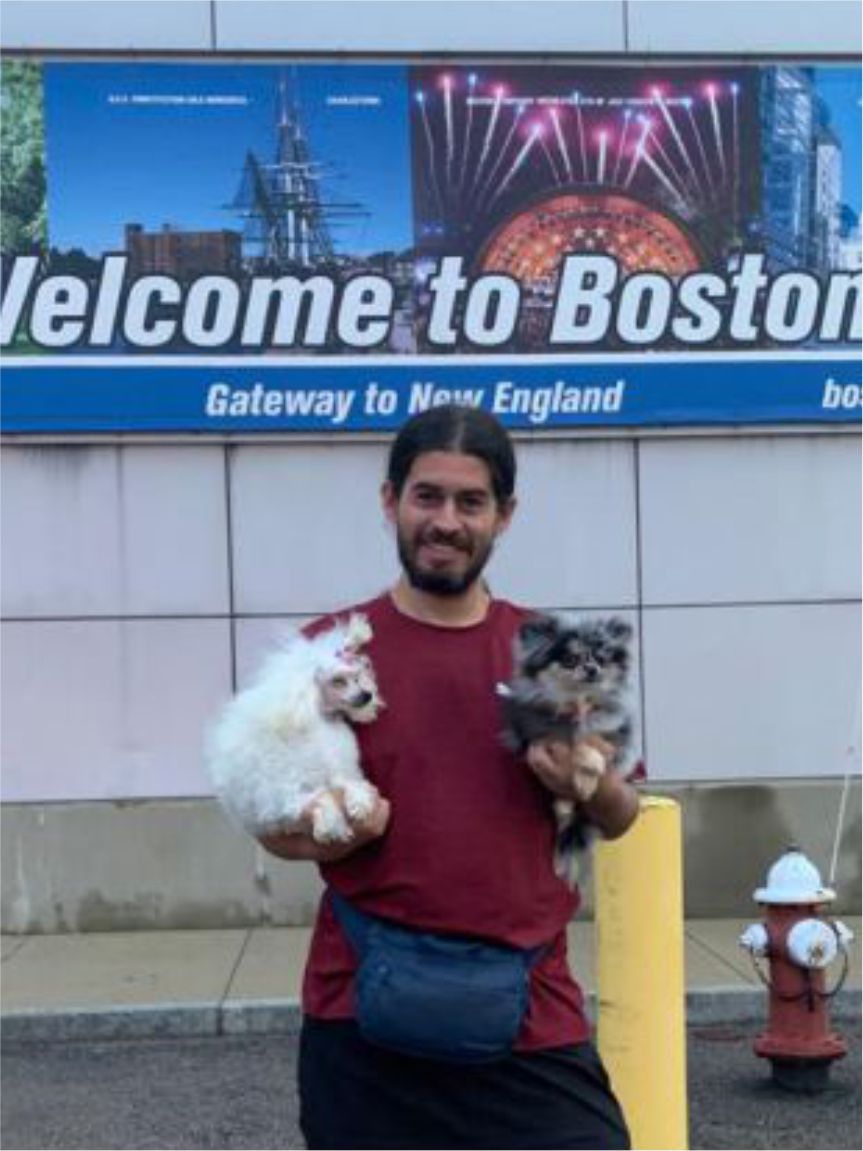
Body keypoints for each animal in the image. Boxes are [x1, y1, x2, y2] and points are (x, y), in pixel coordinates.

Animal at [205, 614, 383, 844]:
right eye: (338, 681)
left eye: (358, 677)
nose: (367, 696)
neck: (319, 722)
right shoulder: (285, 796)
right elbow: (320, 797)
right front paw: (331, 826)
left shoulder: (337, 770)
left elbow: (349, 783)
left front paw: (360, 802)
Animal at [498, 613, 634, 875]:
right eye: (571, 659)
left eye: (601, 659)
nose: (592, 669)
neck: (577, 702)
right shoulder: (539, 735)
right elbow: (574, 744)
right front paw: (582, 778)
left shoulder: (618, 738)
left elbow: (591, 747)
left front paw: (587, 780)